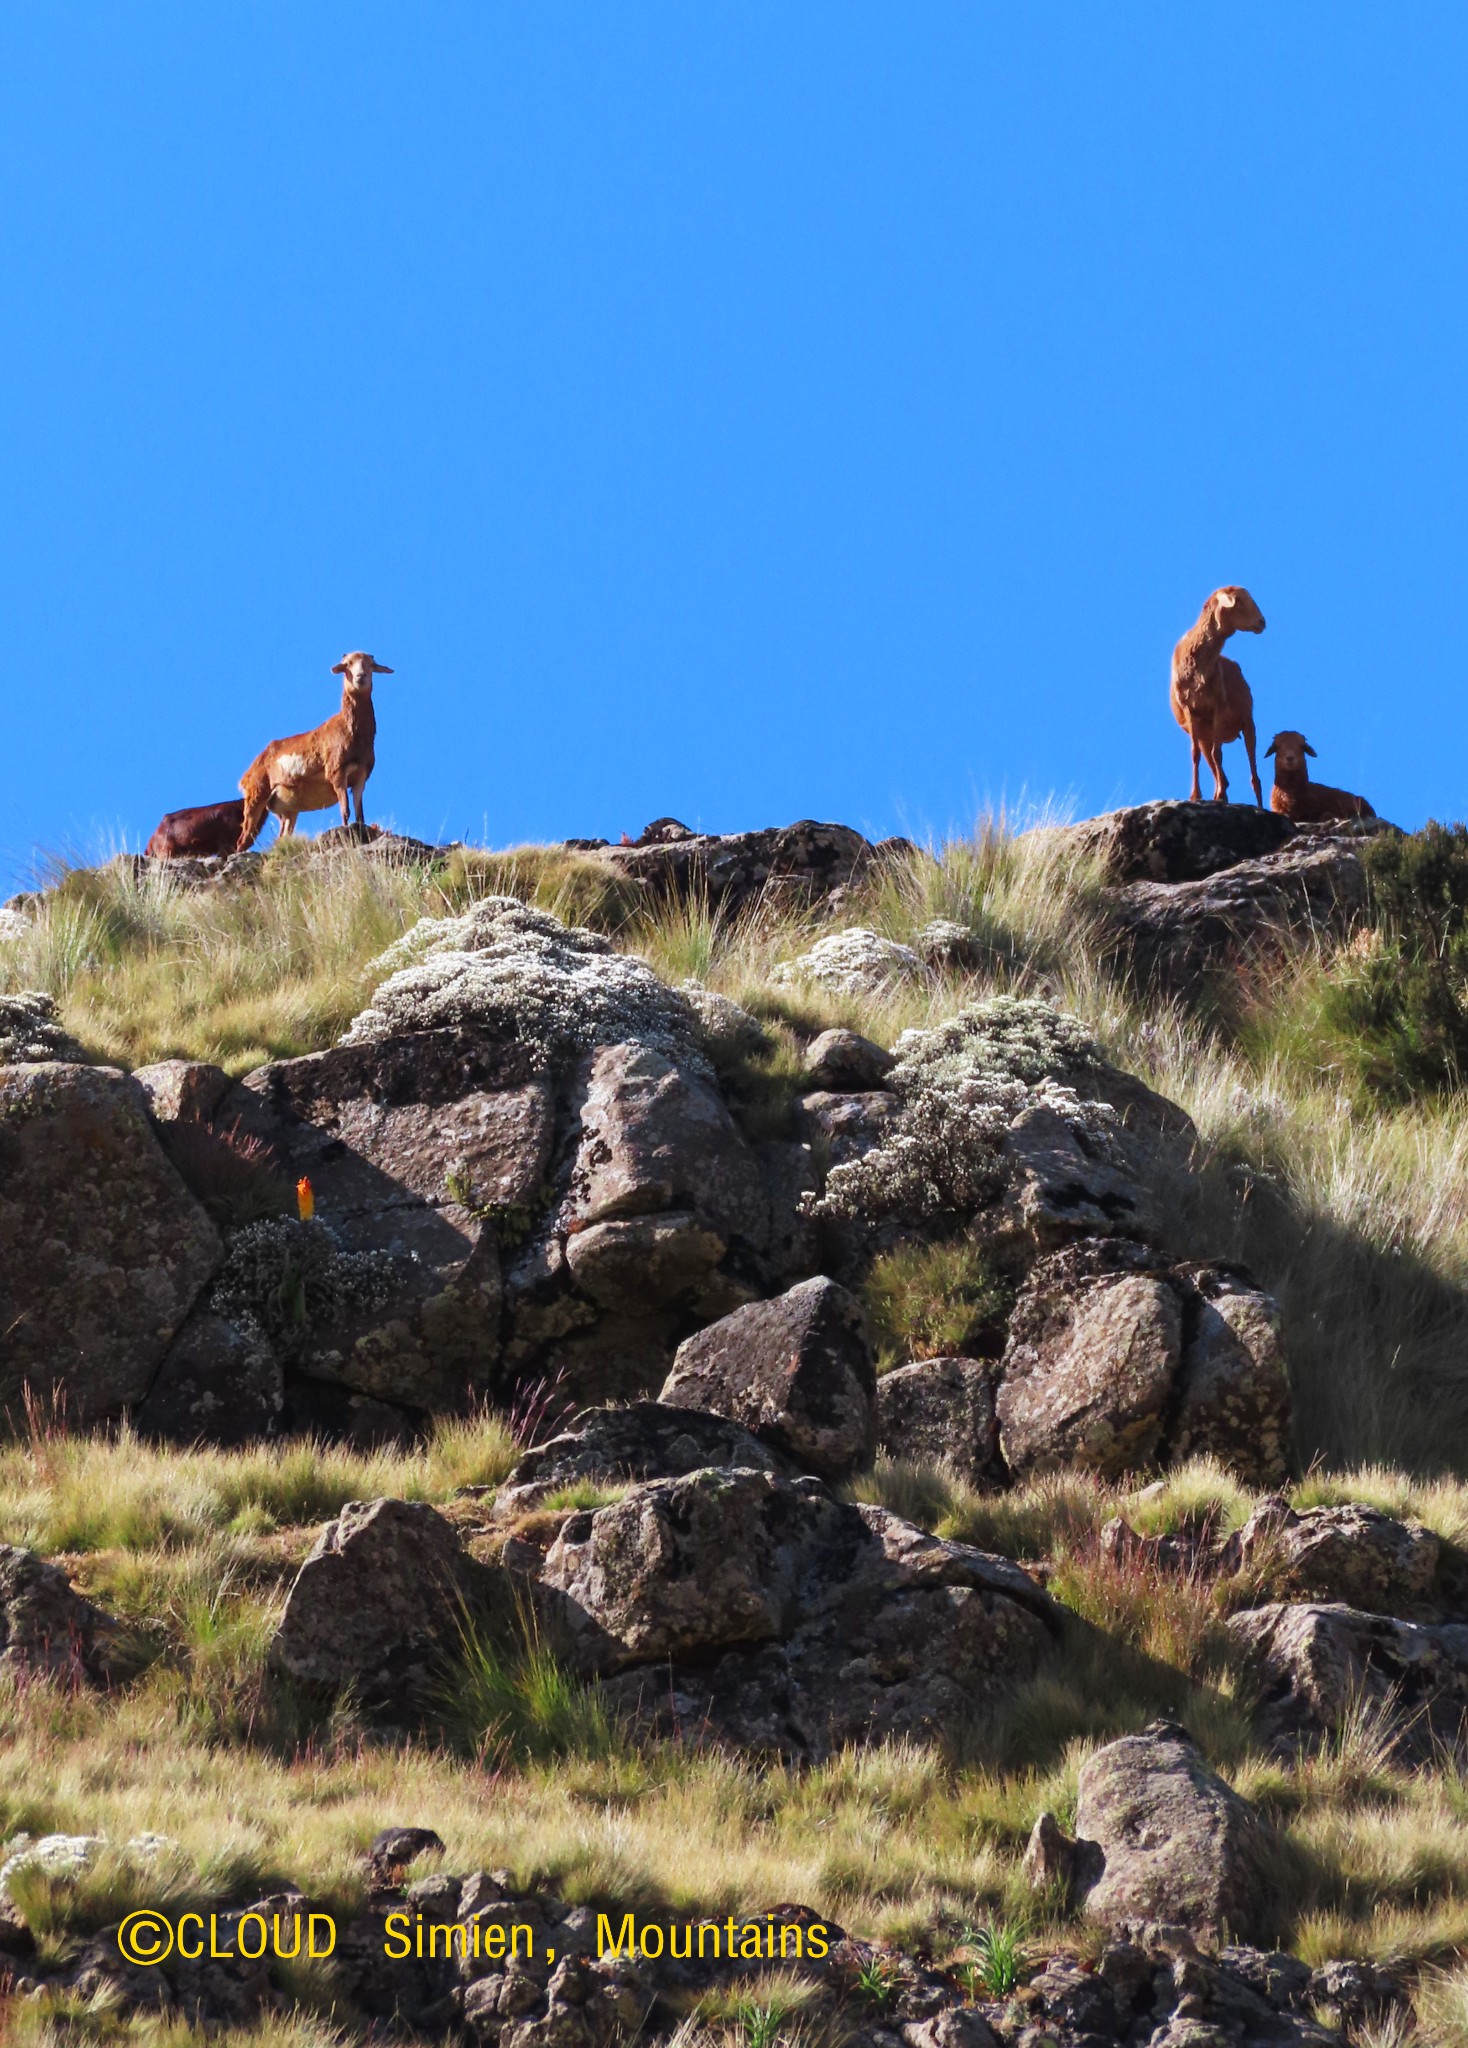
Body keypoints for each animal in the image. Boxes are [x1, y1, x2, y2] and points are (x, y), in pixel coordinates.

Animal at [1171, 589, 1269, 802]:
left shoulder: (1218, 708)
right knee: (1219, 771)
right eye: (1239, 601)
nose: (1261, 622)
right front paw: (1195, 796)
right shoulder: (1191, 710)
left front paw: (1221, 797)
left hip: (1247, 722)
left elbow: (1218, 756)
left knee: (1254, 777)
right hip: (1205, 735)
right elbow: (1195, 754)